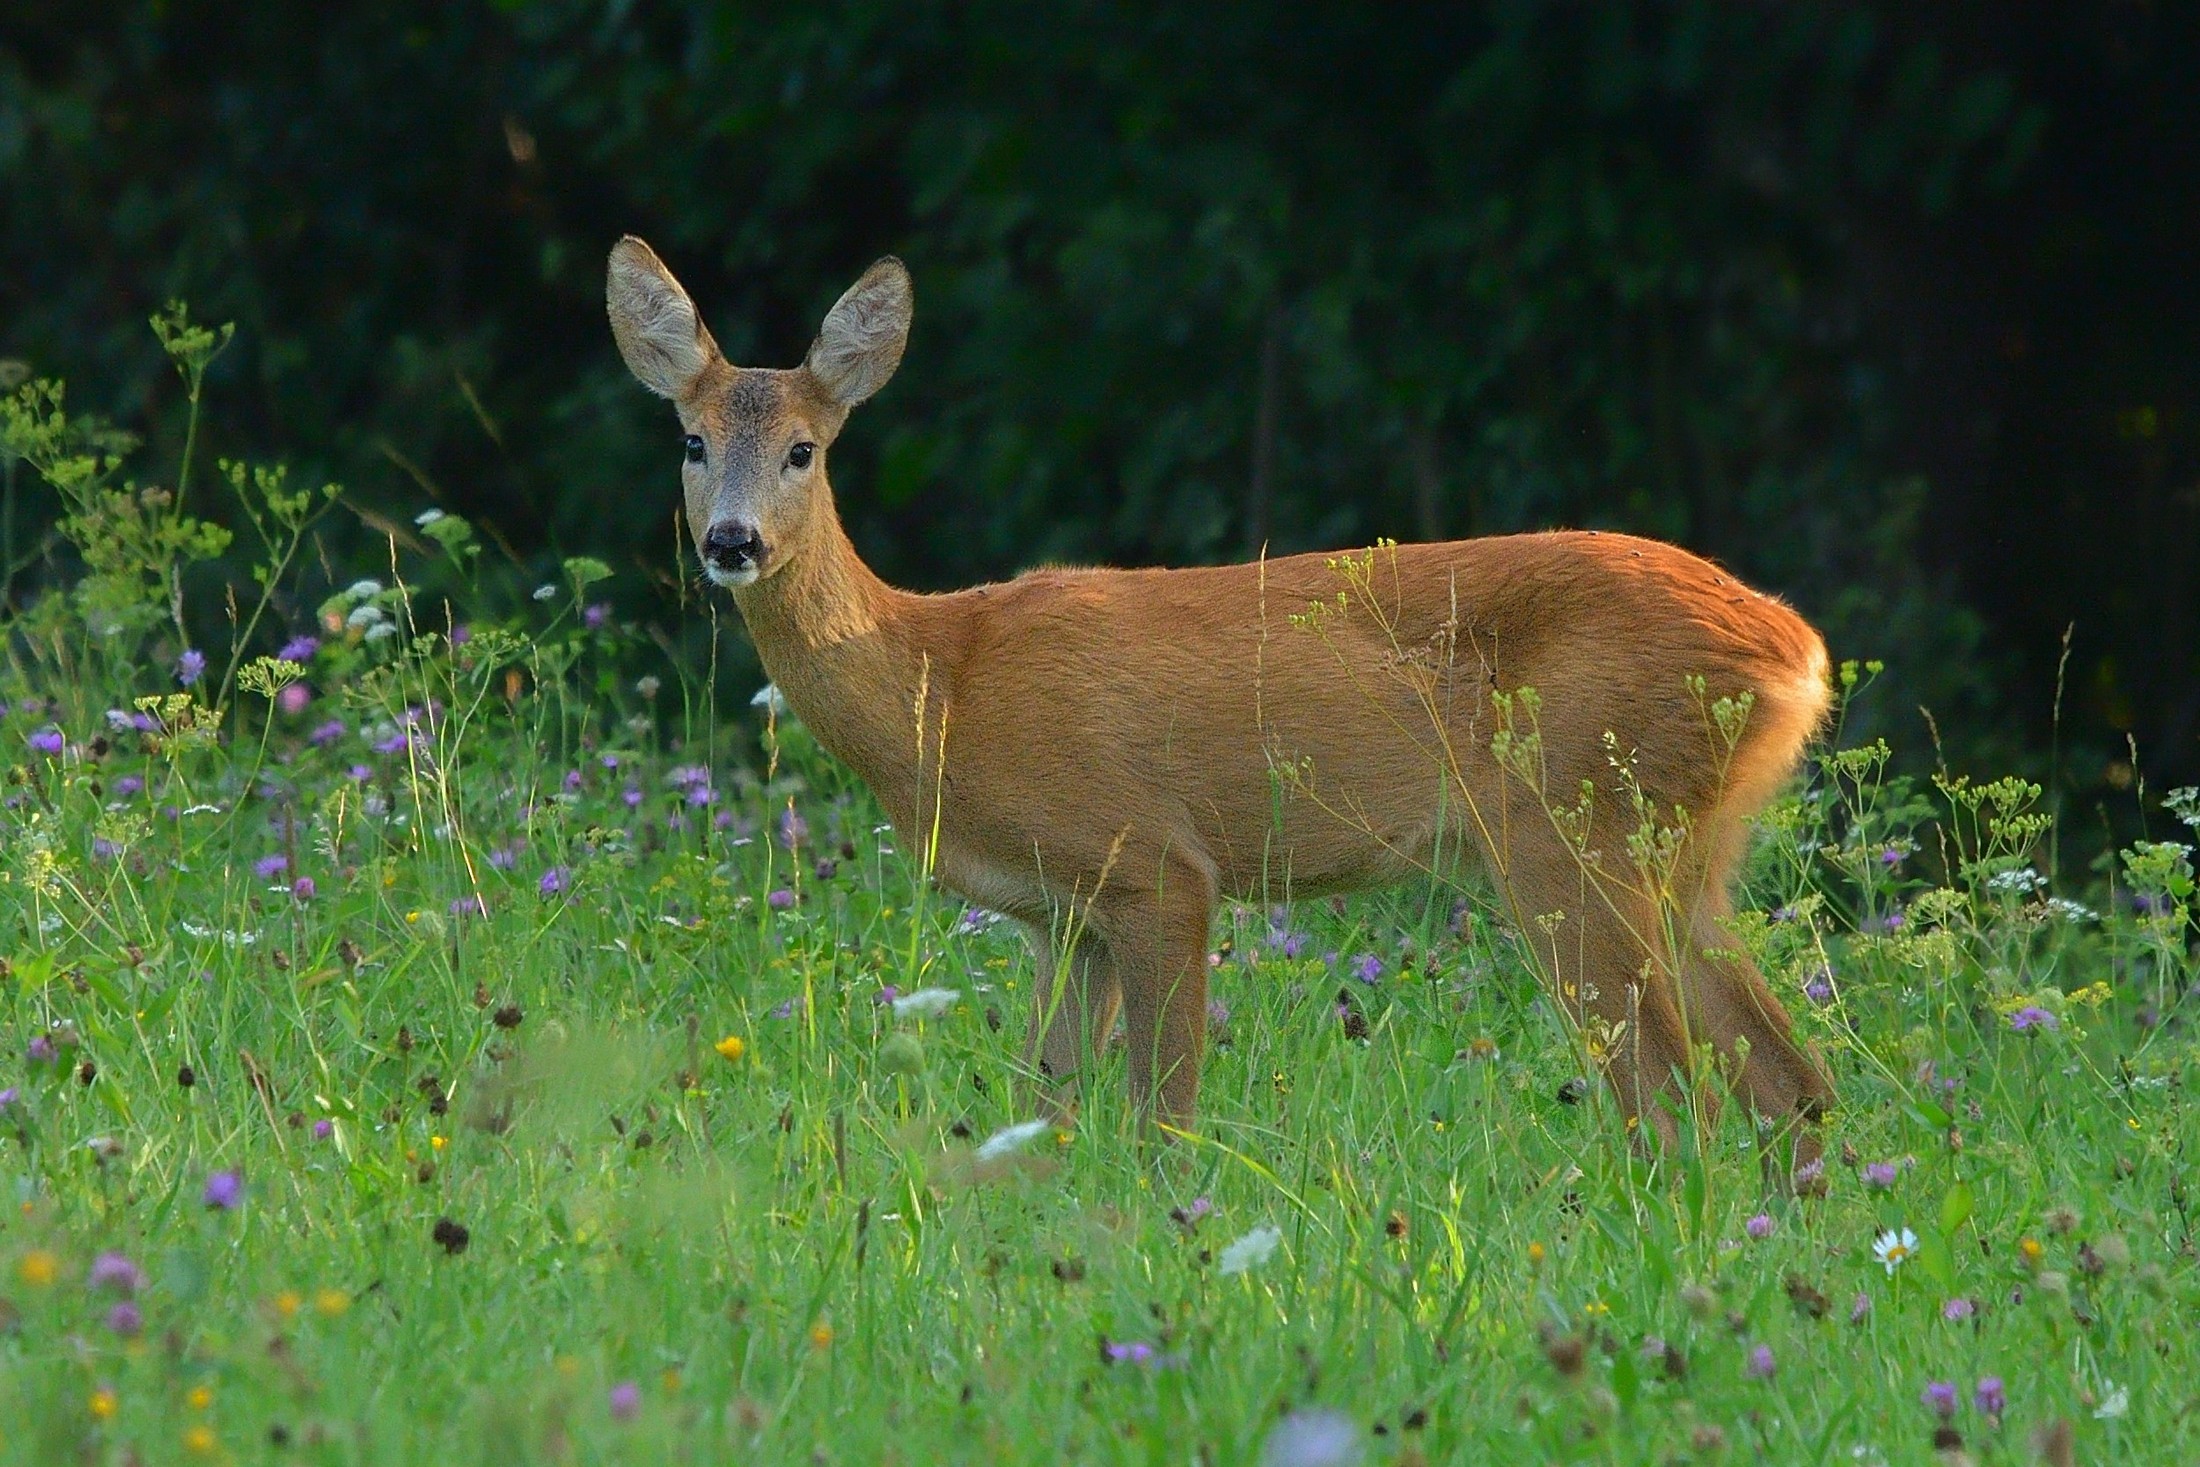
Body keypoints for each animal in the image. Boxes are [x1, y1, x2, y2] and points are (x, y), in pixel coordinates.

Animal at [607, 238, 1839, 1161]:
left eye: (804, 451)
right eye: (692, 440)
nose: (731, 542)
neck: (940, 683)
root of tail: (1800, 649)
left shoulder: (1156, 865)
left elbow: (1166, 1119)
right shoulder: (1061, 916)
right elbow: (1041, 1112)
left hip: (1570, 827)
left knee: (1678, 1102)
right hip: (1685, 854)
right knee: (1791, 1081)